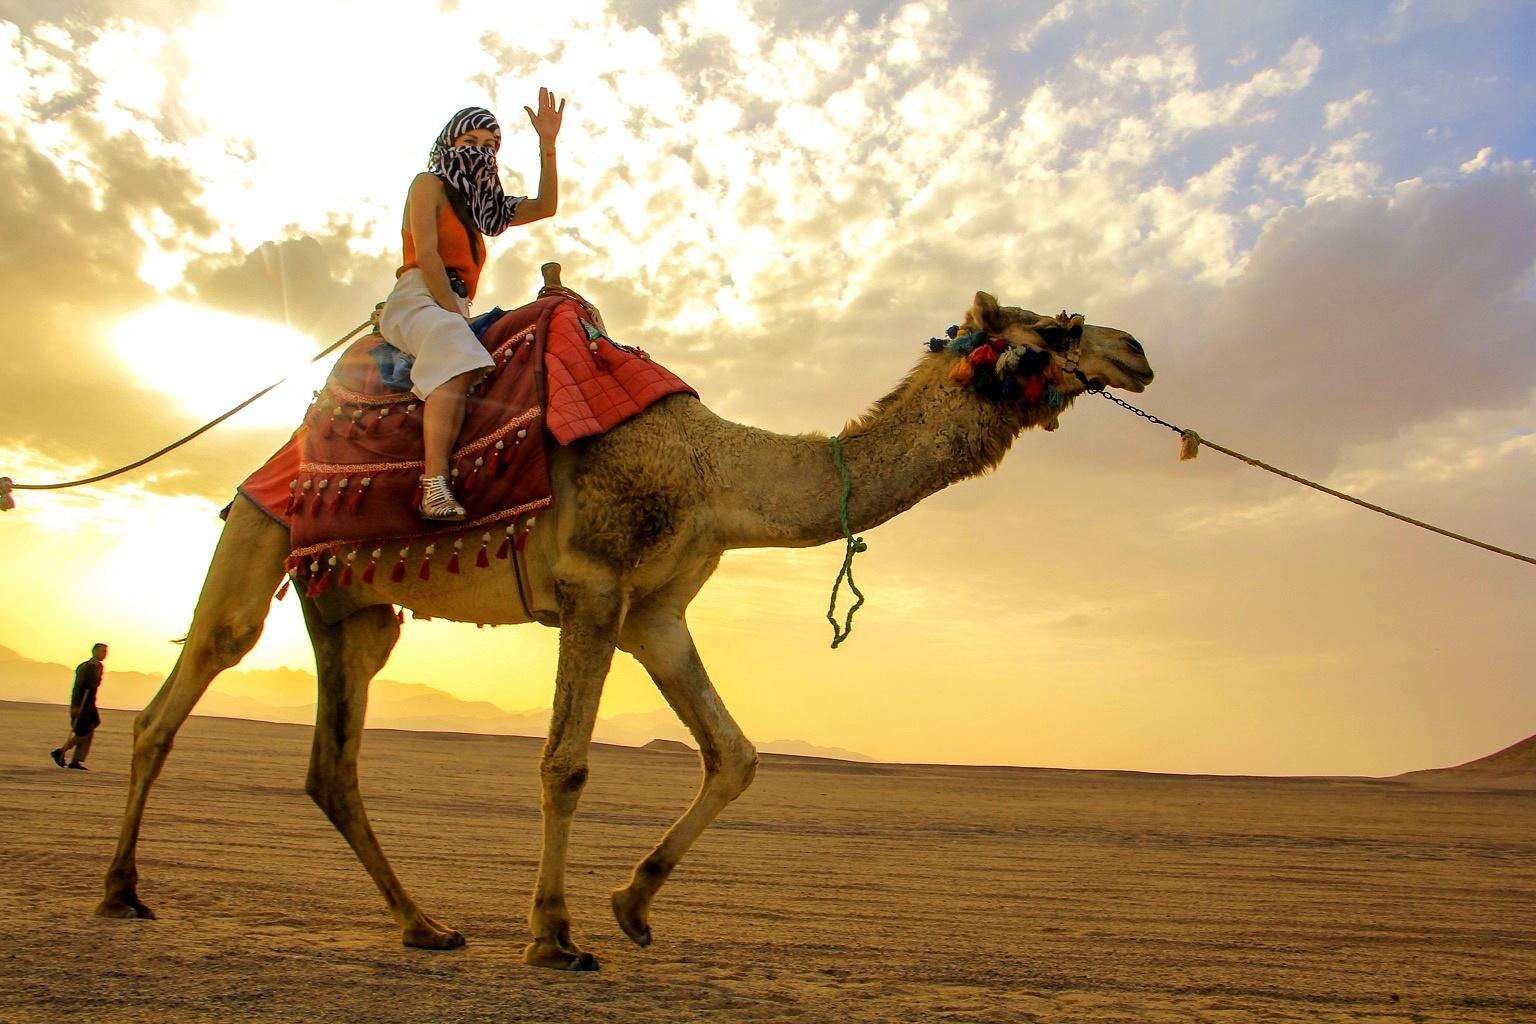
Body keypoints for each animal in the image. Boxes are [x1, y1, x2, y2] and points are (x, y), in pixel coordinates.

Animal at [96, 289, 1153, 970]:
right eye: (1055, 324)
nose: (1138, 350)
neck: (716, 470)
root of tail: (276, 453)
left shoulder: (655, 611)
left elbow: (736, 754)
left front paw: (631, 907)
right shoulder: (594, 583)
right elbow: (566, 763)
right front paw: (553, 937)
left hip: (353, 606)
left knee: (328, 763)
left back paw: (423, 925)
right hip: (260, 536)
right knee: (190, 683)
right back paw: (120, 892)